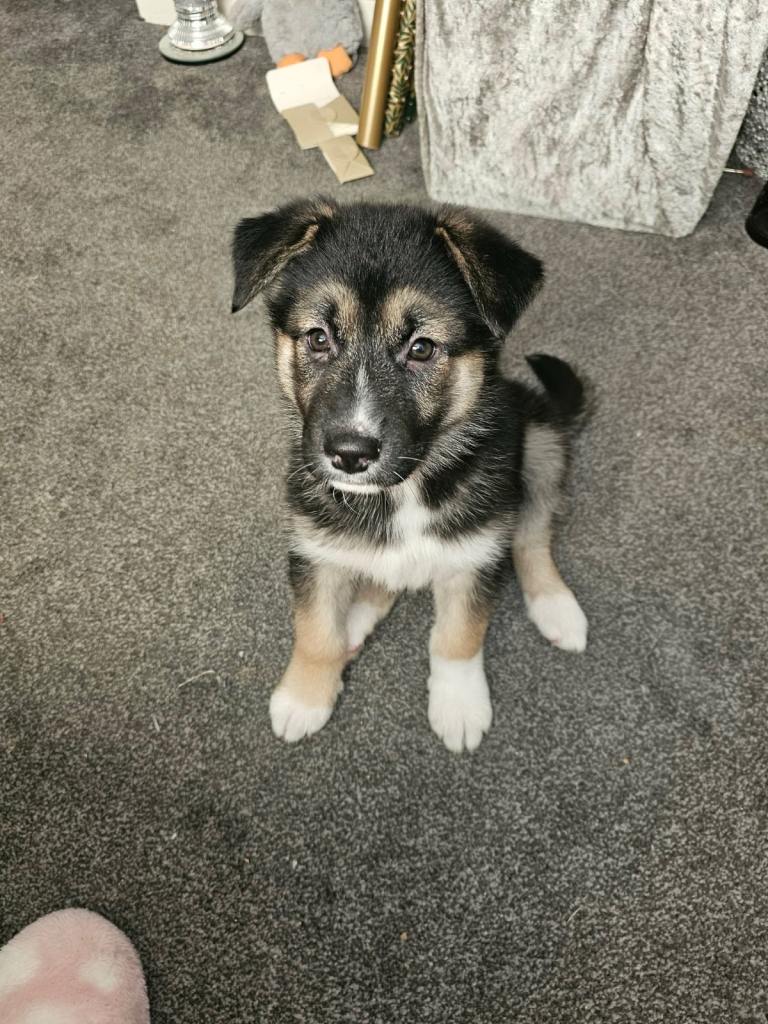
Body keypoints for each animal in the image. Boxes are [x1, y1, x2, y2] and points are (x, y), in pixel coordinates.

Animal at [231, 198, 588, 753]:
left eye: (421, 348)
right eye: (318, 338)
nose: (349, 454)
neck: (402, 492)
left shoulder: (475, 553)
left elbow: (458, 636)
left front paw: (459, 705)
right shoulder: (313, 548)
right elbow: (315, 630)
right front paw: (305, 696)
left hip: (541, 442)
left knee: (532, 535)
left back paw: (556, 607)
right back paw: (356, 620)